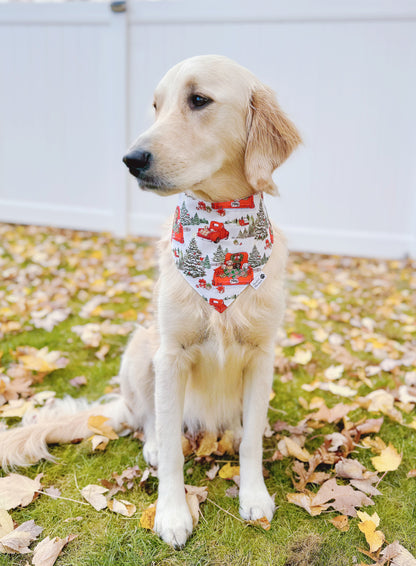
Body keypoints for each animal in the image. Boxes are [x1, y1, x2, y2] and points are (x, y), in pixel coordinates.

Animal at [0, 55, 300, 548]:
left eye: (198, 100)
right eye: (156, 107)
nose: (131, 159)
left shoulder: (262, 355)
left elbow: (255, 440)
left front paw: (254, 495)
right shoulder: (171, 354)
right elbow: (173, 447)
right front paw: (173, 514)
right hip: (142, 348)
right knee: (147, 419)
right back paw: (155, 443)